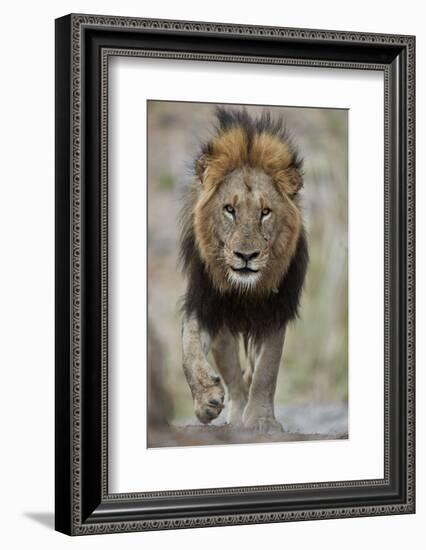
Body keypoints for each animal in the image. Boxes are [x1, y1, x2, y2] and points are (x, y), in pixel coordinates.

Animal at [178, 108, 308, 436]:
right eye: (229, 209)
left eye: (265, 212)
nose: (246, 256)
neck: (244, 290)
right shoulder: (206, 303)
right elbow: (189, 349)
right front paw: (206, 400)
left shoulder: (275, 310)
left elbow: (266, 371)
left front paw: (262, 420)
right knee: (233, 376)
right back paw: (233, 414)